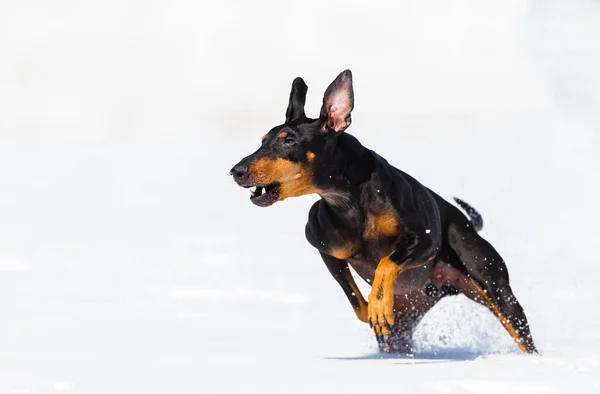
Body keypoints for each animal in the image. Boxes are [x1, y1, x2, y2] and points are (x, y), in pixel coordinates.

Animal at [232, 68, 536, 354]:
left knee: (521, 333)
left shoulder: (425, 240)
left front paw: (378, 306)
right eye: (262, 140)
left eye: (288, 141)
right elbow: (356, 299)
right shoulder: (325, 249)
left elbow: (386, 263)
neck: (349, 201)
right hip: (411, 310)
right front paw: (374, 312)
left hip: (496, 290)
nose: (236, 171)